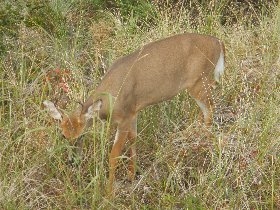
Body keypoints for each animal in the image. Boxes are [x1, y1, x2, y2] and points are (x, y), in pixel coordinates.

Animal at [43, 32, 225, 195]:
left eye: (81, 135)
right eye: (63, 135)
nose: (72, 161)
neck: (110, 100)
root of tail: (219, 42)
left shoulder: (123, 118)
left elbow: (114, 155)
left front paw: (109, 193)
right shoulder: (133, 112)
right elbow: (133, 139)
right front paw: (132, 174)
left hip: (199, 82)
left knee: (210, 109)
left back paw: (202, 142)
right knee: (204, 111)